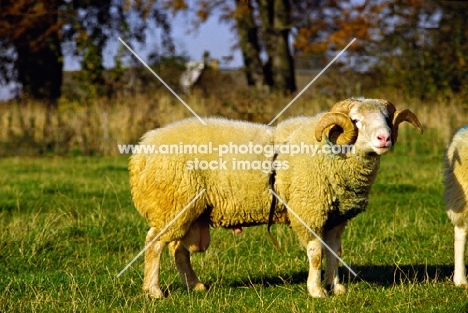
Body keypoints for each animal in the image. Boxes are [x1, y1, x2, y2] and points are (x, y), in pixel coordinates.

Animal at [129, 97, 424, 298]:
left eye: (386, 118)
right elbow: (316, 253)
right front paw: (317, 291)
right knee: (154, 244)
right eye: (356, 121)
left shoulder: (336, 218)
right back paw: (154, 291)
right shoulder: (309, 210)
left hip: (190, 211)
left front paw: (336, 287)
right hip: (174, 204)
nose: (384, 138)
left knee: (178, 250)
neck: (330, 151)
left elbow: (334, 252)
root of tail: (142, 150)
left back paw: (195, 285)